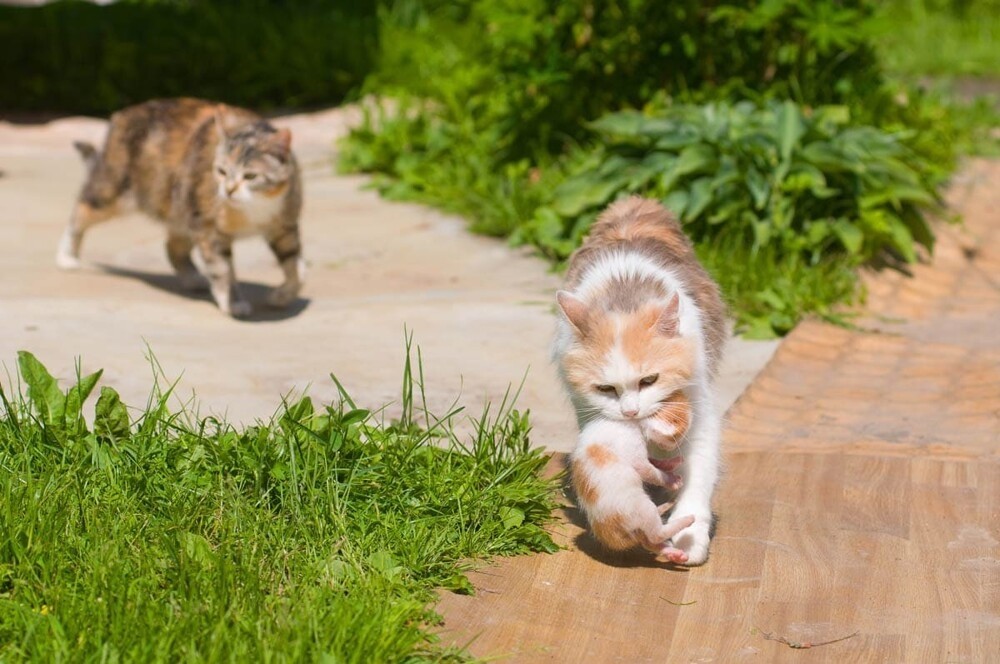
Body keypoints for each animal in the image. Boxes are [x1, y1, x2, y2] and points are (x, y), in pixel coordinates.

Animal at [54, 96, 302, 320]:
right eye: (221, 171)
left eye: (250, 176)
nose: (228, 190)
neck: (256, 207)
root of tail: (122, 113)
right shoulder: (208, 229)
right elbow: (222, 268)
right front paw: (233, 302)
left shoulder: (285, 226)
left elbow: (297, 267)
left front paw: (282, 296)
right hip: (114, 192)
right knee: (80, 211)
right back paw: (67, 257)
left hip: (181, 209)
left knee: (173, 246)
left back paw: (193, 278)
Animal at [556, 195, 728, 564]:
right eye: (605, 389)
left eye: (649, 380)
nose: (631, 412)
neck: (625, 297)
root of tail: (632, 202)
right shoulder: (588, 410)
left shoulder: (700, 405)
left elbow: (698, 473)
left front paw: (690, 538)